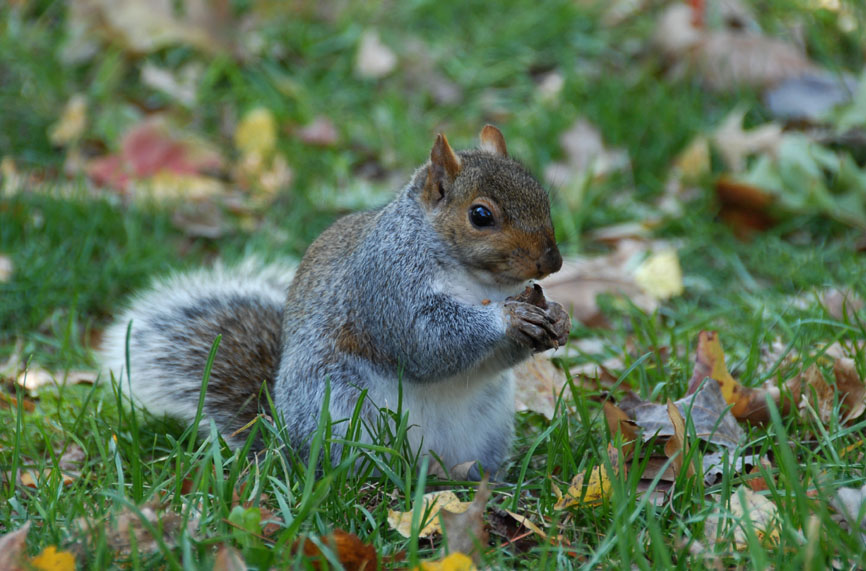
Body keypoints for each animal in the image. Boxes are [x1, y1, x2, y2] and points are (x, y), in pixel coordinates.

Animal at [99, 126, 568, 478]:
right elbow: (425, 341)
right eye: (481, 215)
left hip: (486, 423)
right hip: (342, 410)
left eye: (542, 195)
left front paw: (557, 318)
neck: (476, 280)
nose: (553, 261)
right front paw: (508, 317)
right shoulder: (385, 284)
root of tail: (282, 441)